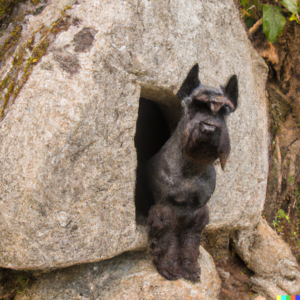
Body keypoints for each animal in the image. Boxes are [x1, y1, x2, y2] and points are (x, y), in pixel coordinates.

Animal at [135, 63, 237, 282]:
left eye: (224, 111)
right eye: (195, 106)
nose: (209, 128)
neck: (192, 170)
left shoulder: (198, 212)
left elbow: (190, 242)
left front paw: (190, 267)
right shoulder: (166, 210)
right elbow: (167, 241)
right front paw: (169, 268)